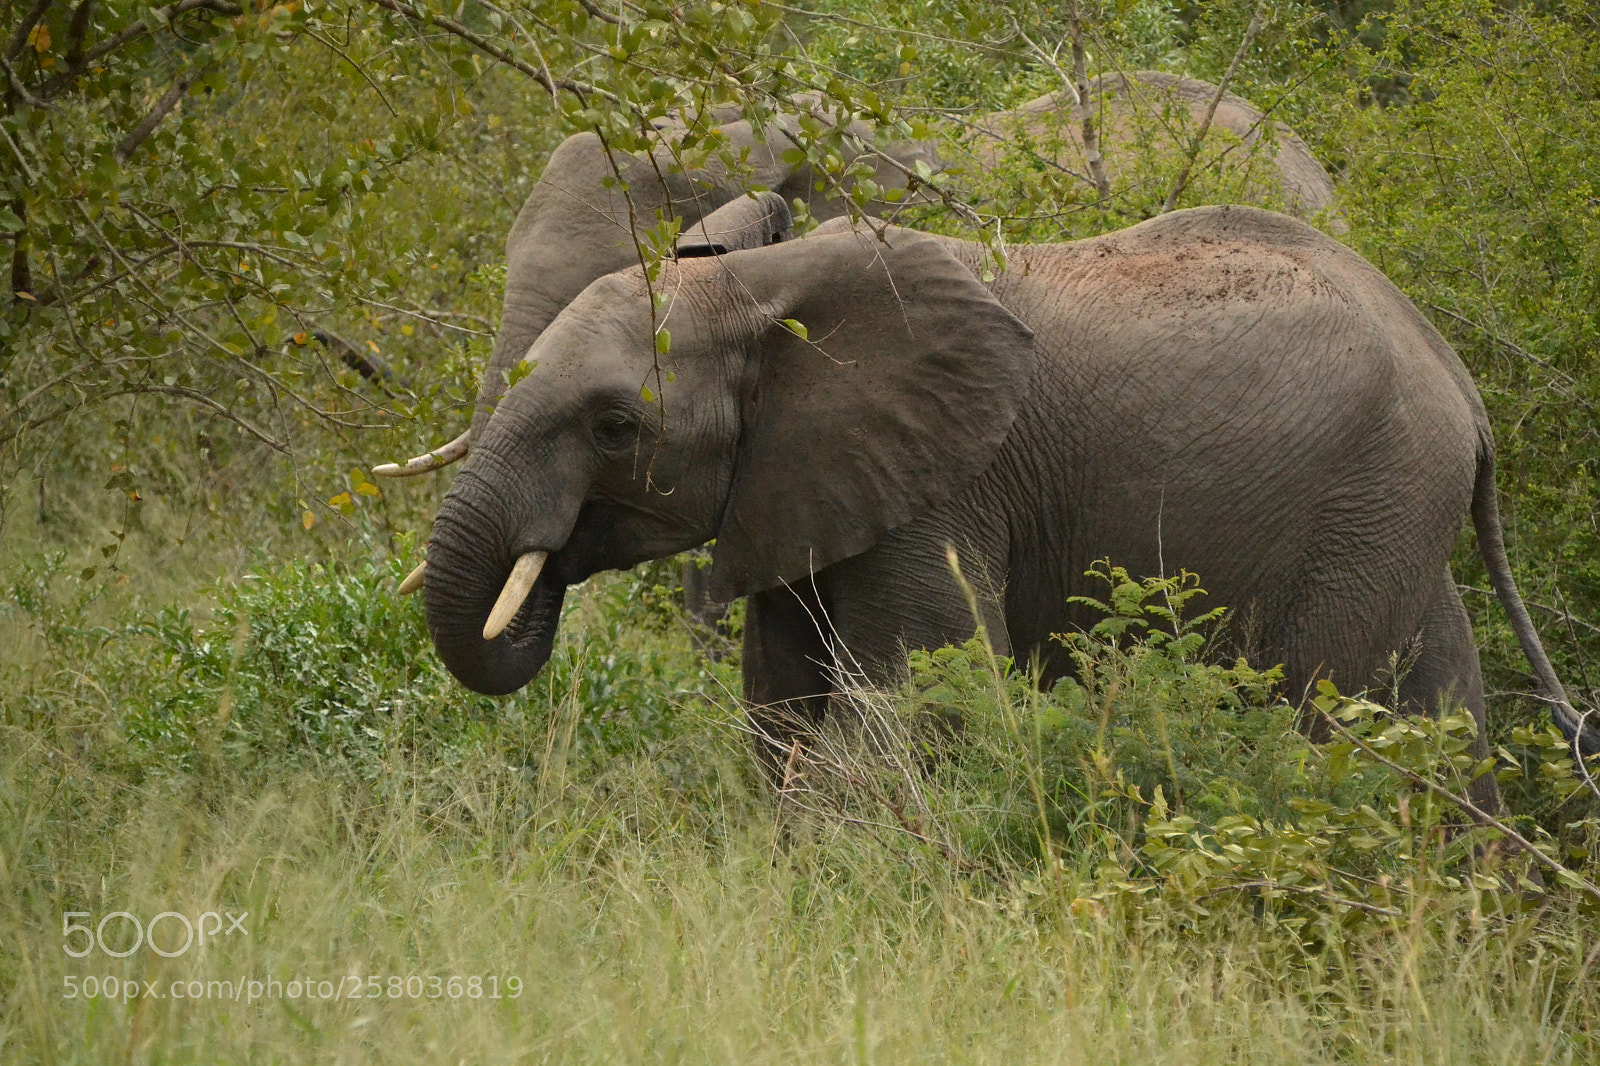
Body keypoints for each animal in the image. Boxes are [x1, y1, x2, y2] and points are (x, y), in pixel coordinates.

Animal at [414, 204, 1596, 808]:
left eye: (615, 426)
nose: (547, 553)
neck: (762, 283)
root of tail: (1466, 389)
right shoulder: (809, 477)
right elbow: (781, 704)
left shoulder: (945, 486)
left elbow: (914, 694)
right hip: (1396, 514)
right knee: (1439, 706)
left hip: (1369, 505)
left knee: (1321, 718)